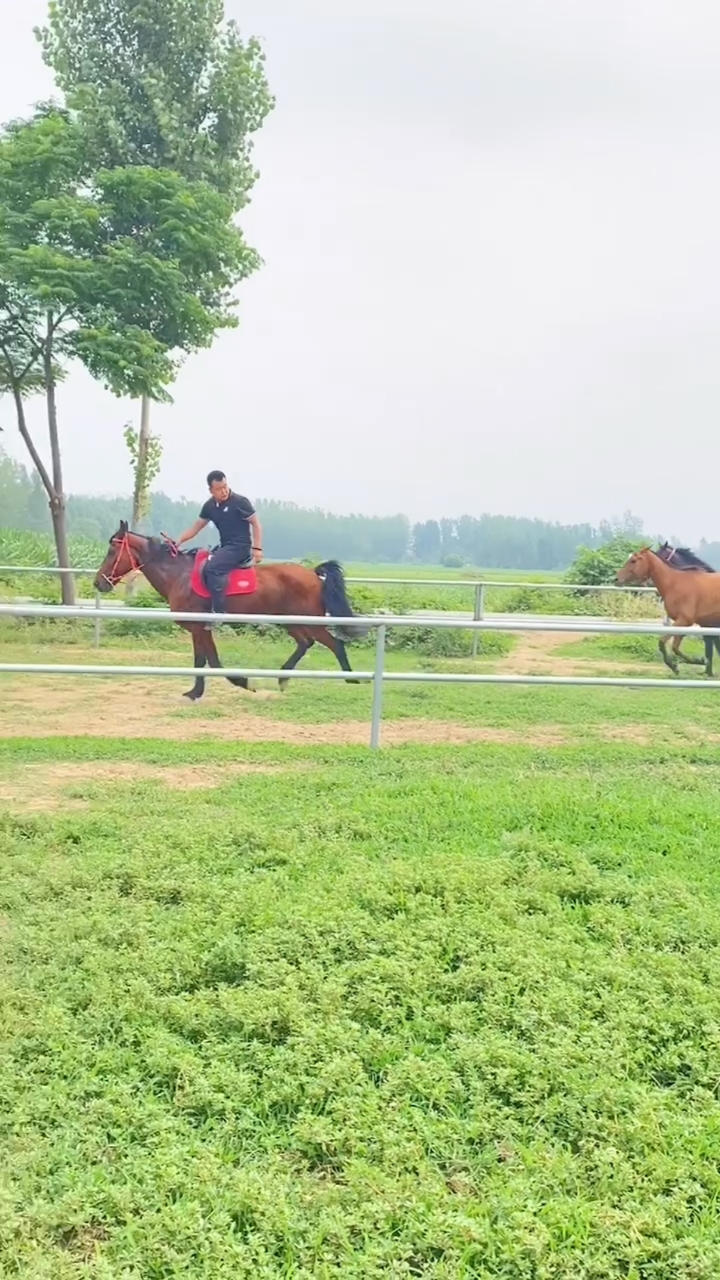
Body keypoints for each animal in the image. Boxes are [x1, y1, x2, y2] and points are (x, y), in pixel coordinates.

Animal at [93, 523, 368, 701]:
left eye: (112, 551)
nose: (99, 583)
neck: (178, 574)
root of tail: (313, 574)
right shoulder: (199, 629)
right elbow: (206, 661)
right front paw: (197, 692)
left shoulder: (199, 628)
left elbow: (209, 662)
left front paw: (240, 683)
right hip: (290, 621)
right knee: (305, 643)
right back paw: (283, 678)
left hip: (310, 621)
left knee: (334, 644)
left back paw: (354, 680)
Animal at [617, 546, 720, 677]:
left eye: (633, 561)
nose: (616, 578)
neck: (675, 583)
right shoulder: (683, 624)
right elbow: (675, 648)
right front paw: (680, 665)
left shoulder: (684, 621)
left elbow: (662, 642)